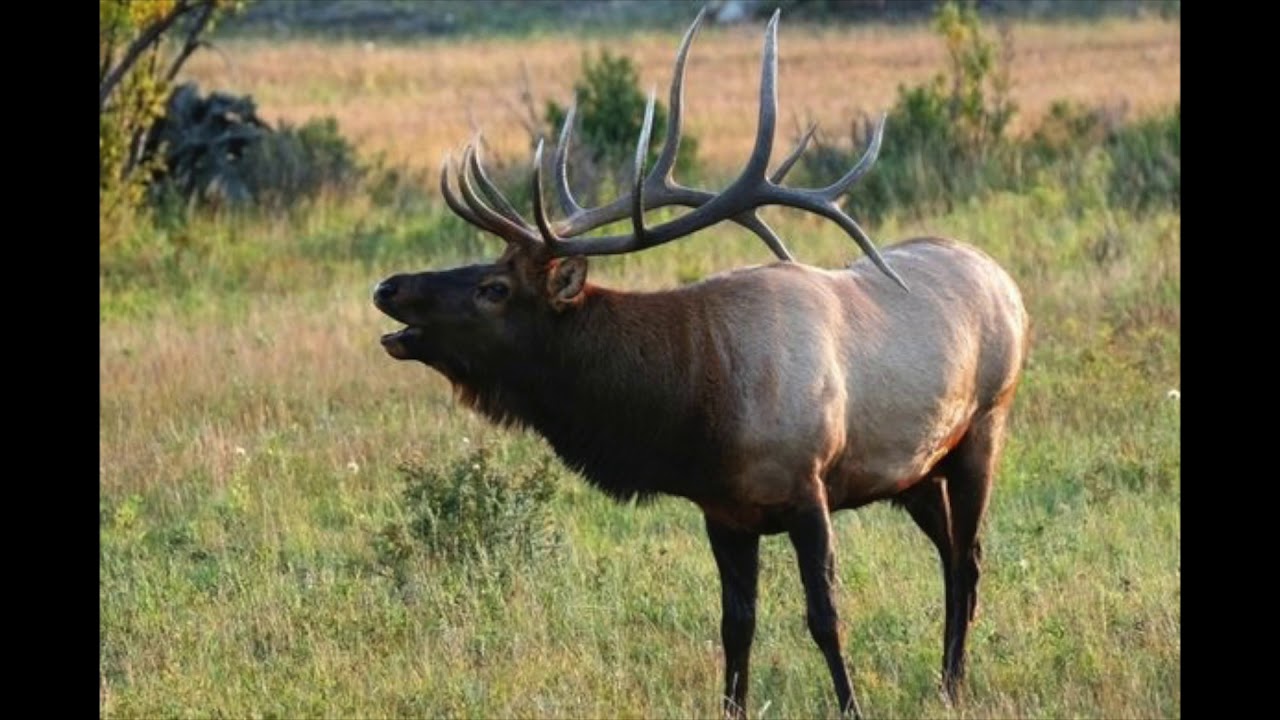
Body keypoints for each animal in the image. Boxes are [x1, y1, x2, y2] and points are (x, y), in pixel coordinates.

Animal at [373, 8, 1028, 719]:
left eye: (494, 288)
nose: (388, 286)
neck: (697, 405)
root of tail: (1007, 283)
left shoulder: (808, 489)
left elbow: (825, 616)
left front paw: (851, 705)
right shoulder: (724, 511)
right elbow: (735, 625)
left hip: (983, 429)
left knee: (967, 557)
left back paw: (954, 683)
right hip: (915, 472)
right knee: (952, 553)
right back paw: (946, 678)